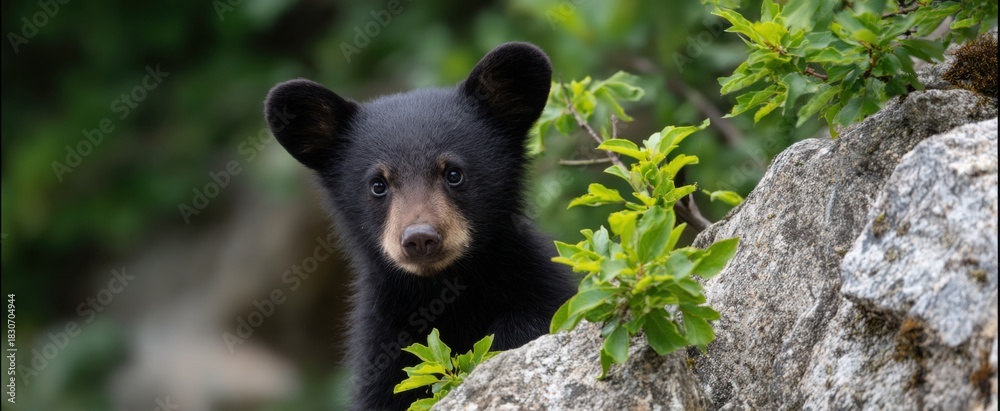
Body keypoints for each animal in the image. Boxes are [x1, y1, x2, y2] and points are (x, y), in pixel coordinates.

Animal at [263, 42, 576, 410]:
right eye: (377, 184)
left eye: (453, 173)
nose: (420, 239)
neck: (442, 292)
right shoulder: (383, 349)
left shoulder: (544, 298)